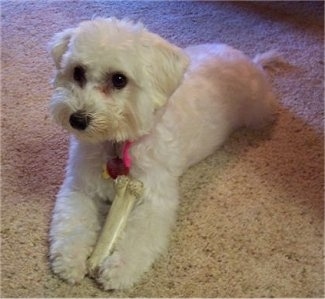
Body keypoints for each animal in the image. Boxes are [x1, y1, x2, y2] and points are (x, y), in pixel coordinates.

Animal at [49, 17, 278, 290]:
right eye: (78, 72)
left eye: (119, 79)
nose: (78, 119)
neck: (118, 144)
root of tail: (250, 62)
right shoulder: (81, 188)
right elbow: (72, 222)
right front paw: (70, 260)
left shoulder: (154, 201)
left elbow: (137, 238)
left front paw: (119, 269)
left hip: (258, 114)